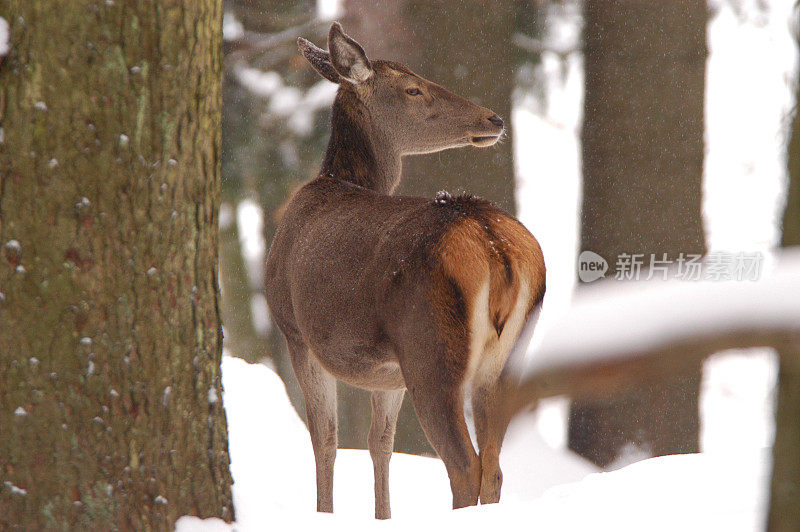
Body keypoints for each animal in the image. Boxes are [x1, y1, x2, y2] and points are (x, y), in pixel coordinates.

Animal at [266, 22, 548, 516]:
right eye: (413, 89)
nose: (493, 120)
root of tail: (492, 245)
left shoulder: (295, 331)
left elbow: (326, 440)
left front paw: (325, 514)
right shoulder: (386, 370)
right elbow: (379, 443)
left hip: (429, 346)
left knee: (464, 464)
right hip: (506, 356)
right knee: (493, 466)